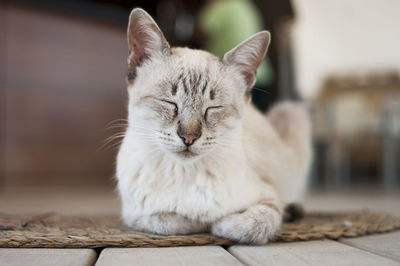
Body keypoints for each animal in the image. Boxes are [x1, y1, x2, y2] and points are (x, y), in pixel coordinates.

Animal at [115, 7, 312, 245]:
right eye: (169, 103)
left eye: (213, 108)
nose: (188, 137)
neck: (184, 174)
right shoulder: (135, 215)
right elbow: (172, 222)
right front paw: (199, 222)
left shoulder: (269, 197)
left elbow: (251, 225)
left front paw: (219, 223)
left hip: (291, 112)